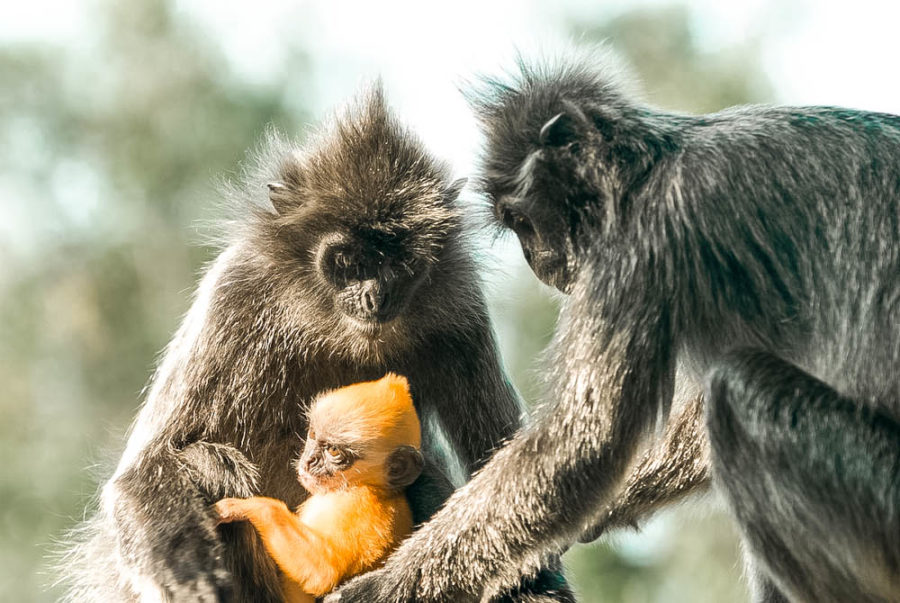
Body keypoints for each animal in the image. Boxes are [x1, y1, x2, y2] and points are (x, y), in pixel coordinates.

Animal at [214, 376, 422, 600]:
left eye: (334, 450)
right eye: (313, 435)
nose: (309, 461)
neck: (375, 488)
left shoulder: (359, 504)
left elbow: (322, 572)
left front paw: (243, 507)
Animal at [330, 53, 900, 603]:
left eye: (523, 222)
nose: (534, 258)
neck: (652, 164)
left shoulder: (638, 239)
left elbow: (582, 443)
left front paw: (385, 587)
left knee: (737, 393)